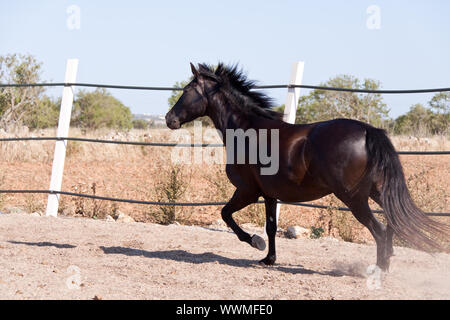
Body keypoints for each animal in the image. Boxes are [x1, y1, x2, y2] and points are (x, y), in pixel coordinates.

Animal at [164, 63, 446, 272]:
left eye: (187, 90)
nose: (169, 119)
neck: (247, 130)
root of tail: (368, 131)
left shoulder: (247, 191)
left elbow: (226, 215)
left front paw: (255, 243)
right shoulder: (269, 195)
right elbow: (270, 227)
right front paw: (268, 259)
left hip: (354, 198)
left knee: (378, 230)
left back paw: (378, 271)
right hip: (375, 192)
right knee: (388, 228)